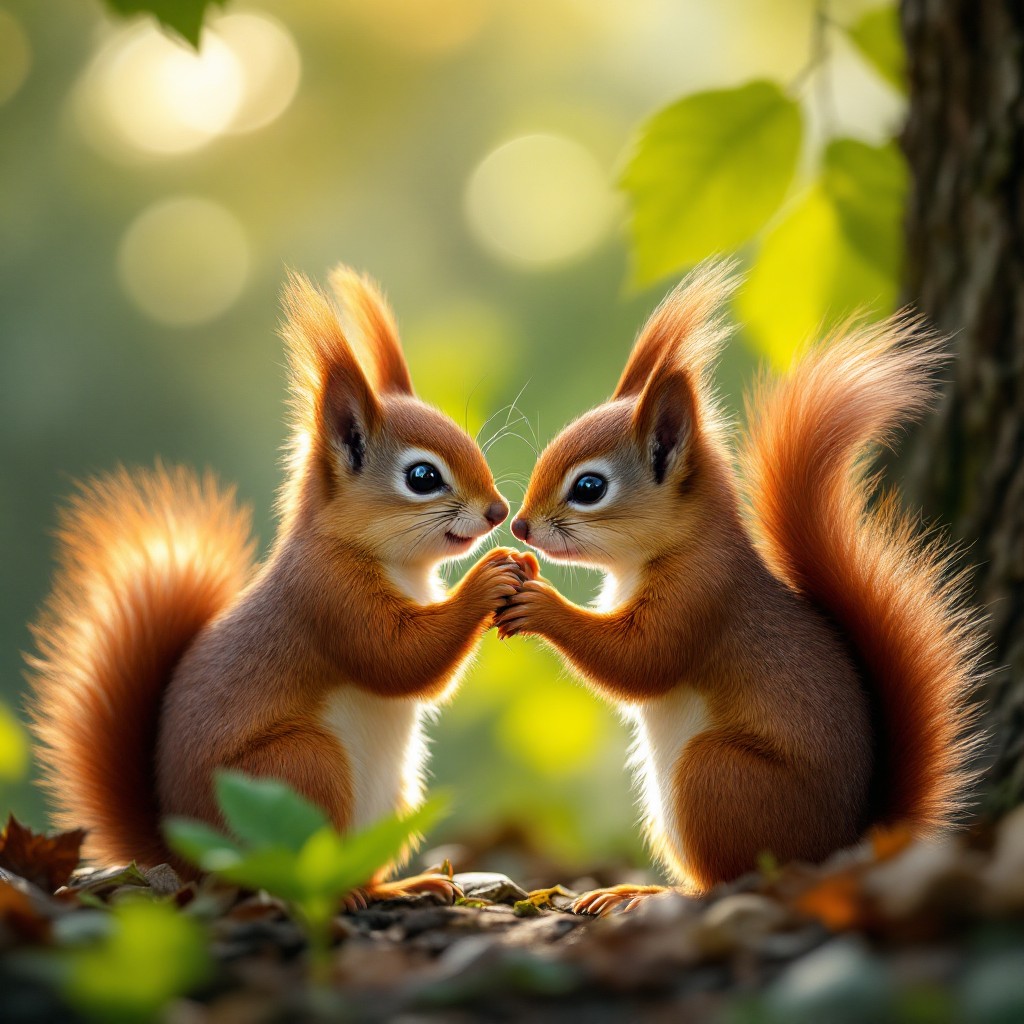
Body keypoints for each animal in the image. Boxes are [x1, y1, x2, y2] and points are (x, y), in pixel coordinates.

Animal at [28, 266, 528, 904]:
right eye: (422, 476)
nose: (498, 511)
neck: (399, 565)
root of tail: (192, 861)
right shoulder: (327, 596)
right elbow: (400, 659)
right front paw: (487, 581)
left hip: (393, 794)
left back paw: (400, 886)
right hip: (298, 768)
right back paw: (344, 895)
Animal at [496, 261, 982, 915]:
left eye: (590, 487)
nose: (520, 526)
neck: (671, 549)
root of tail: (841, 847)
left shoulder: (702, 596)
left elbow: (640, 662)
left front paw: (540, 603)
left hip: (716, 776)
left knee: (726, 881)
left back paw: (645, 893)